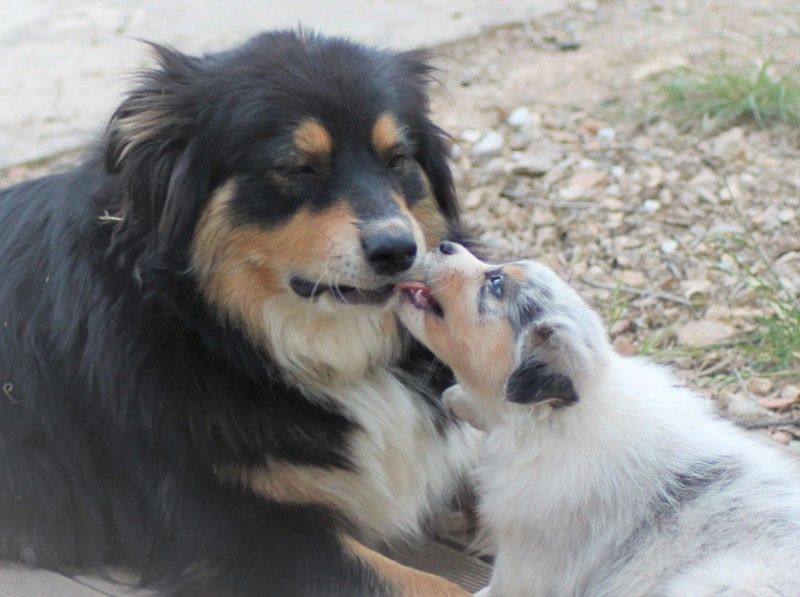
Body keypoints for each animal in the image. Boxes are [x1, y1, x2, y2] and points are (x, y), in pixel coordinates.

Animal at [395, 241, 800, 597]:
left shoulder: (527, 557)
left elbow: (498, 587)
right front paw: (459, 399)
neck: (551, 423)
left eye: (495, 284)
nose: (444, 244)